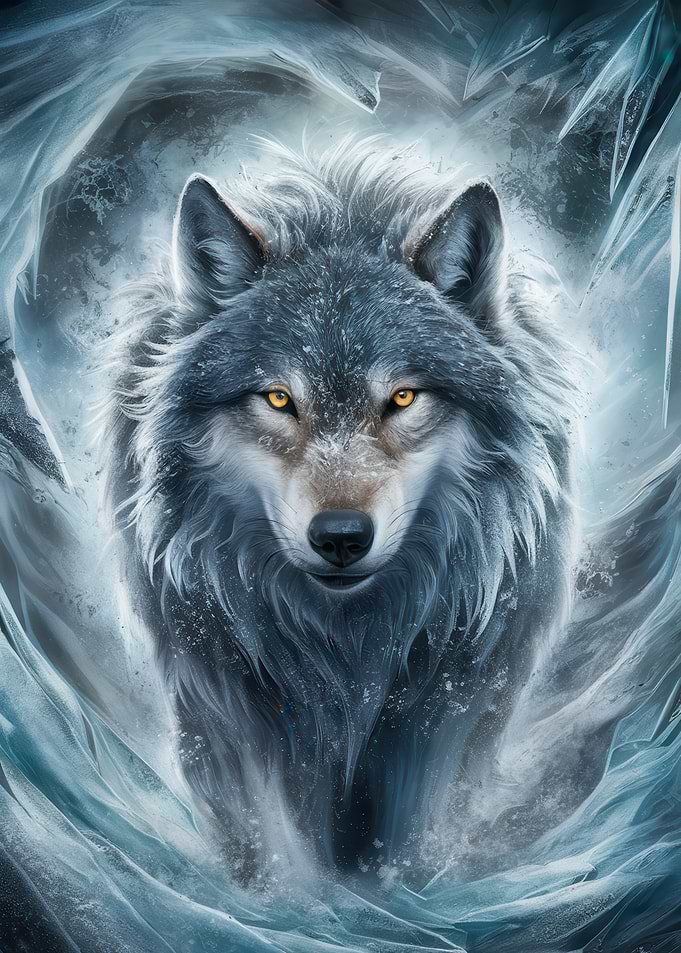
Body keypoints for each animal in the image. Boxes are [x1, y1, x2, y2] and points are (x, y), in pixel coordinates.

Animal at [105, 139, 575, 876]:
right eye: (277, 398)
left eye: (404, 397)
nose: (341, 536)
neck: (345, 647)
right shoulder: (221, 707)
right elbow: (268, 841)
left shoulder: (448, 714)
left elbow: (413, 835)